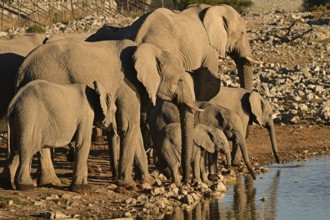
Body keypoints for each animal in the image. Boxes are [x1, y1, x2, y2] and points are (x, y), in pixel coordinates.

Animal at [14, 38, 200, 186]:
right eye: (180, 80)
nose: (186, 181)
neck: (152, 50)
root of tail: (22, 70)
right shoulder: (127, 85)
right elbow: (129, 125)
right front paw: (127, 183)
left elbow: (134, 129)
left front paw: (147, 181)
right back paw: (51, 181)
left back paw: (49, 180)